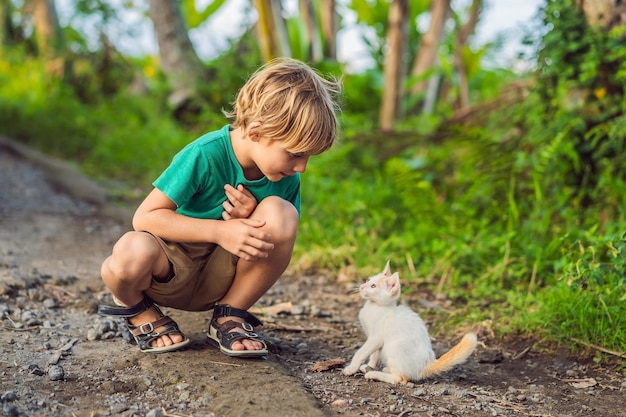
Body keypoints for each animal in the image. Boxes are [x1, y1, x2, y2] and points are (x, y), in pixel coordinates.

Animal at [342, 260, 472, 384]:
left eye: (373, 286)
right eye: (368, 280)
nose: (362, 286)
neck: (375, 306)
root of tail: (427, 364)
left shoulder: (376, 337)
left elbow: (361, 352)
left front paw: (351, 368)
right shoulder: (377, 341)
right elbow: (374, 354)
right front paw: (370, 365)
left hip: (395, 347)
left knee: (400, 378)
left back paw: (374, 374)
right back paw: (382, 369)